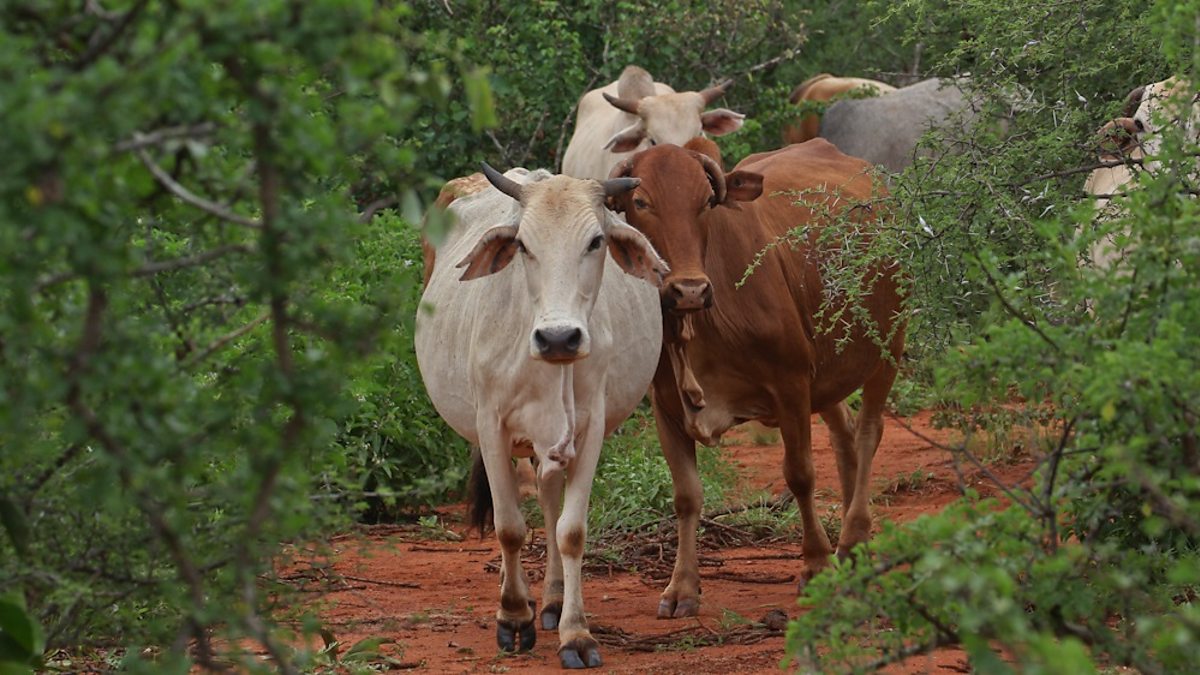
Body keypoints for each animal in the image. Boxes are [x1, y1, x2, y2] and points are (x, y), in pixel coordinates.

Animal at [415, 164, 667, 667]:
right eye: (523, 245)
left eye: (596, 241)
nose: (558, 338)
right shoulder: (491, 427)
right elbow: (509, 528)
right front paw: (513, 617)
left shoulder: (590, 431)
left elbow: (571, 531)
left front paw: (576, 633)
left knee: (550, 505)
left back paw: (550, 600)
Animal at [609, 135, 902, 614]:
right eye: (640, 202)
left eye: (706, 201)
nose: (689, 290)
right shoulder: (665, 406)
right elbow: (686, 496)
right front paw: (682, 586)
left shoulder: (790, 384)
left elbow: (799, 474)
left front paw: (816, 565)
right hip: (827, 375)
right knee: (844, 434)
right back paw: (851, 539)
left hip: (888, 346)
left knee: (868, 432)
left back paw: (852, 537)